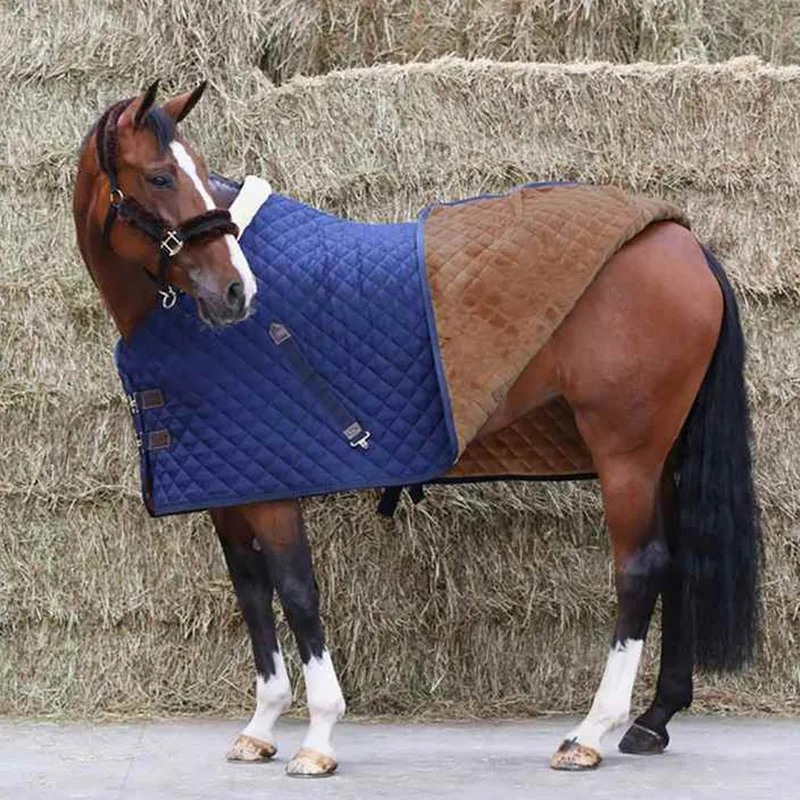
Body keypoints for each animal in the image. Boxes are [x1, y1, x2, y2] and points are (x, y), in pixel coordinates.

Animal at [72, 81, 760, 777]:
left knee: (640, 569)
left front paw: (319, 737)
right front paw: (261, 726)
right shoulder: (227, 488)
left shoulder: (274, 490)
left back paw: (591, 732)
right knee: (676, 563)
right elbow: (251, 593)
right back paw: (652, 719)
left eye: (191, 170)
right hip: (659, 457)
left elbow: (296, 591)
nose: (236, 291)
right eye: (161, 175)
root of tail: (677, 237)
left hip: (626, 456)